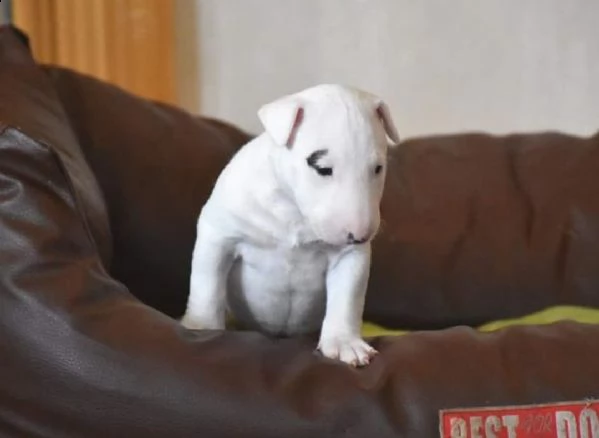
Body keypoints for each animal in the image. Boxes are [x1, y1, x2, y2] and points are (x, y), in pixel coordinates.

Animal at [180, 84, 400, 366]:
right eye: (322, 169)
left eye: (378, 168)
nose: (359, 235)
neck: (294, 212)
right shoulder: (218, 234)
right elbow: (206, 285)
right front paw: (203, 329)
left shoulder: (349, 257)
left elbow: (347, 297)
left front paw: (343, 342)